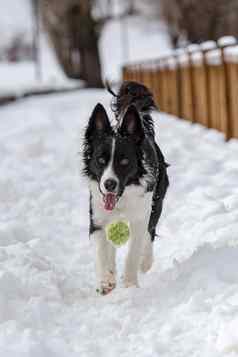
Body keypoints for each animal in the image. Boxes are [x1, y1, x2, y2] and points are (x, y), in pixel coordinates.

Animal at [82, 82, 168, 294]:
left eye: (124, 161)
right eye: (100, 160)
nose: (109, 184)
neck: (122, 199)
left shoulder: (140, 216)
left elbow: (134, 250)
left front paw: (130, 283)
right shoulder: (97, 217)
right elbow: (101, 249)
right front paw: (106, 280)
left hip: (157, 201)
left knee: (150, 233)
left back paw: (146, 263)